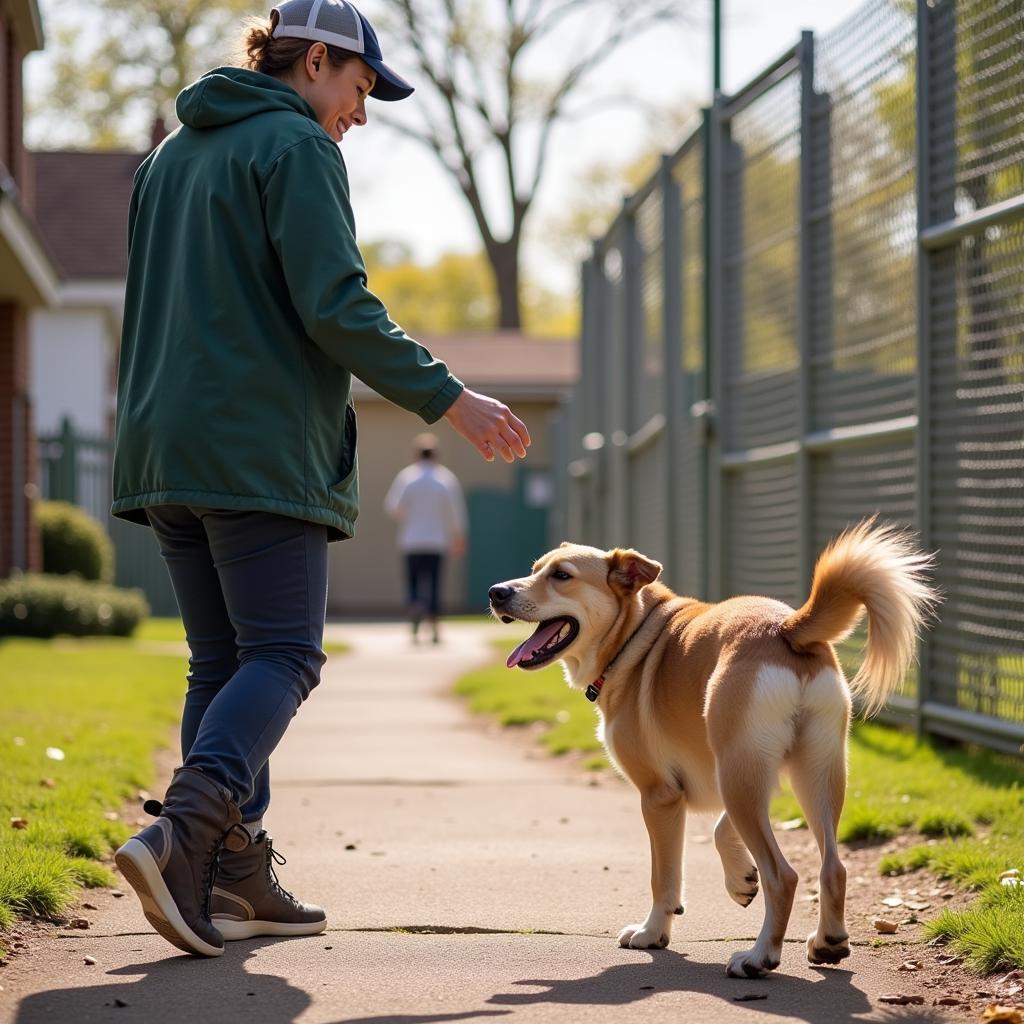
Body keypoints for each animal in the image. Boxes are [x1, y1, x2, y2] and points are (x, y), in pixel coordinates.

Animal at [487, 520, 937, 974]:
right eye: (535, 569)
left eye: (561, 575)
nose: (496, 592)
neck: (634, 635)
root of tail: (787, 627)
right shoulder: (747, 774)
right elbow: (721, 829)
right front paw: (740, 879)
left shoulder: (662, 796)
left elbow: (664, 878)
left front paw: (653, 933)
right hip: (810, 774)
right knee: (834, 868)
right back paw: (829, 942)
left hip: (745, 778)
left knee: (783, 876)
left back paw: (758, 957)